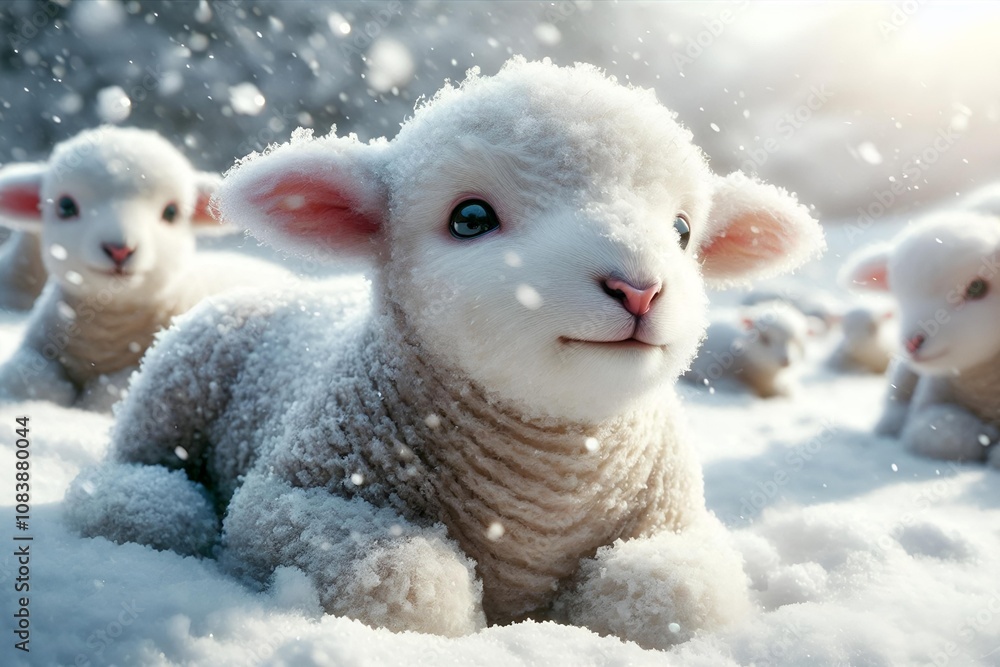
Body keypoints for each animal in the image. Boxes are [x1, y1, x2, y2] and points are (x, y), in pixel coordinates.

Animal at [0, 125, 288, 411]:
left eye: (171, 212)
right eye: (66, 206)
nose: (119, 249)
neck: (107, 330)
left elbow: (111, 389)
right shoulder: (36, 346)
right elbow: (29, 375)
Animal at [65, 58, 825, 648]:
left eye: (683, 229)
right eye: (471, 218)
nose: (639, 288)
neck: (544, 484)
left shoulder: (679, 524)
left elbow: (673, 598)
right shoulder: (287, 501)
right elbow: (402, 581)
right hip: (171, 392)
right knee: (134, 478)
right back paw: (148, 506)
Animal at [841, 210, 1000, 465]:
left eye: (977, 288)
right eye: (900, 296)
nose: (911, 342)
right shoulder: (927, 407)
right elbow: (942, 433)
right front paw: (986, 436)